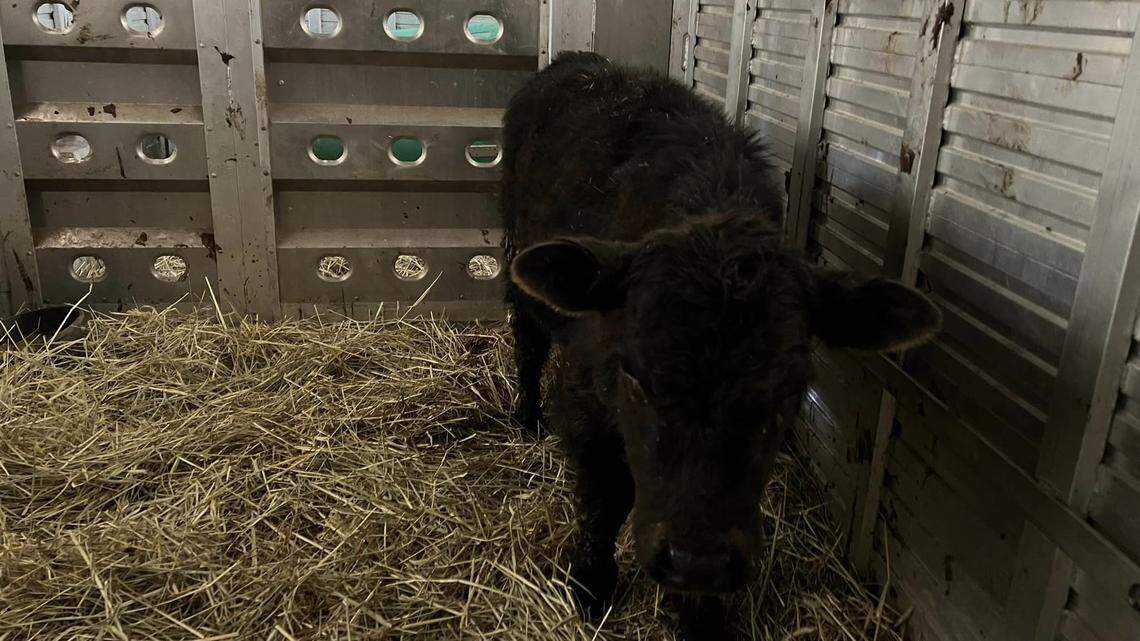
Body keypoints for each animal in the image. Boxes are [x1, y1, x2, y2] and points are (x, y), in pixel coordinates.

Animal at [501, 52, 940, 640]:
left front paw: (700, 618)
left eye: (789, 391)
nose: (696, 562)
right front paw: (591, 583)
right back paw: (526, 415)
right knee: (526, 340)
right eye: (634, 377)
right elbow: (604, 496)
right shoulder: (586, 400)